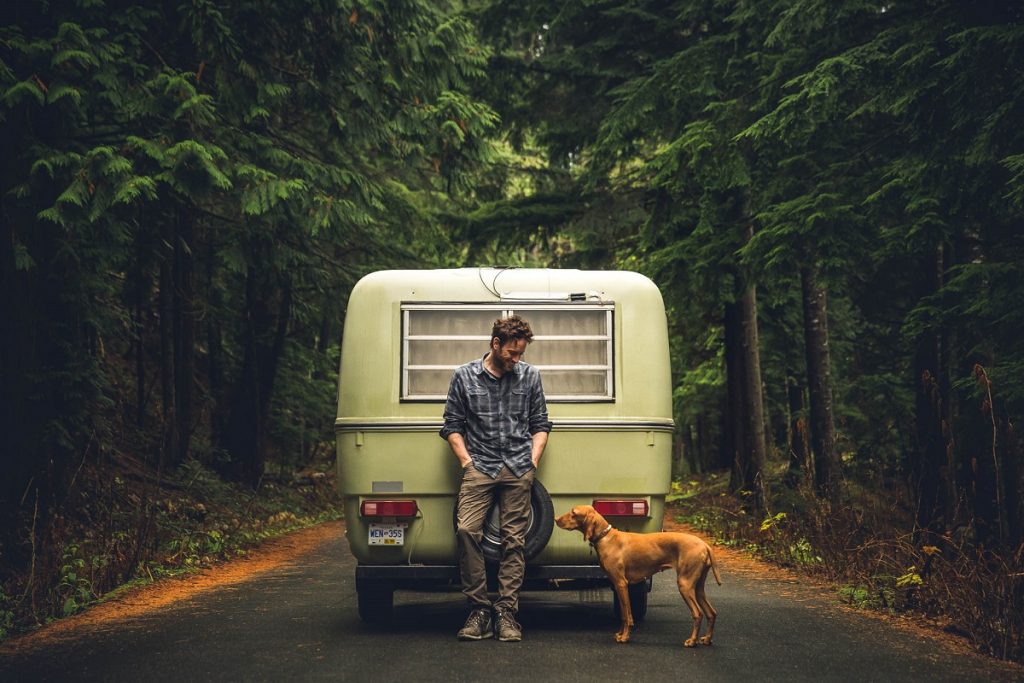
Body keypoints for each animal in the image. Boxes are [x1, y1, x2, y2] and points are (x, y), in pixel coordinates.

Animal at [552, 505, 720, 651]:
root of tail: (704, 544)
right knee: (711, 612)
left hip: (685, 585)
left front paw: (625, 637)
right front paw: (620, 634)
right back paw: (707, 639)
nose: (555, 518)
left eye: (573, 513)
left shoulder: (621, 584)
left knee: (697, 614)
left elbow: (627, 615)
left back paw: (692, 641)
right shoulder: (618, 585)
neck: (606, 537)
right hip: (697, 588)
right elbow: (623, 614)